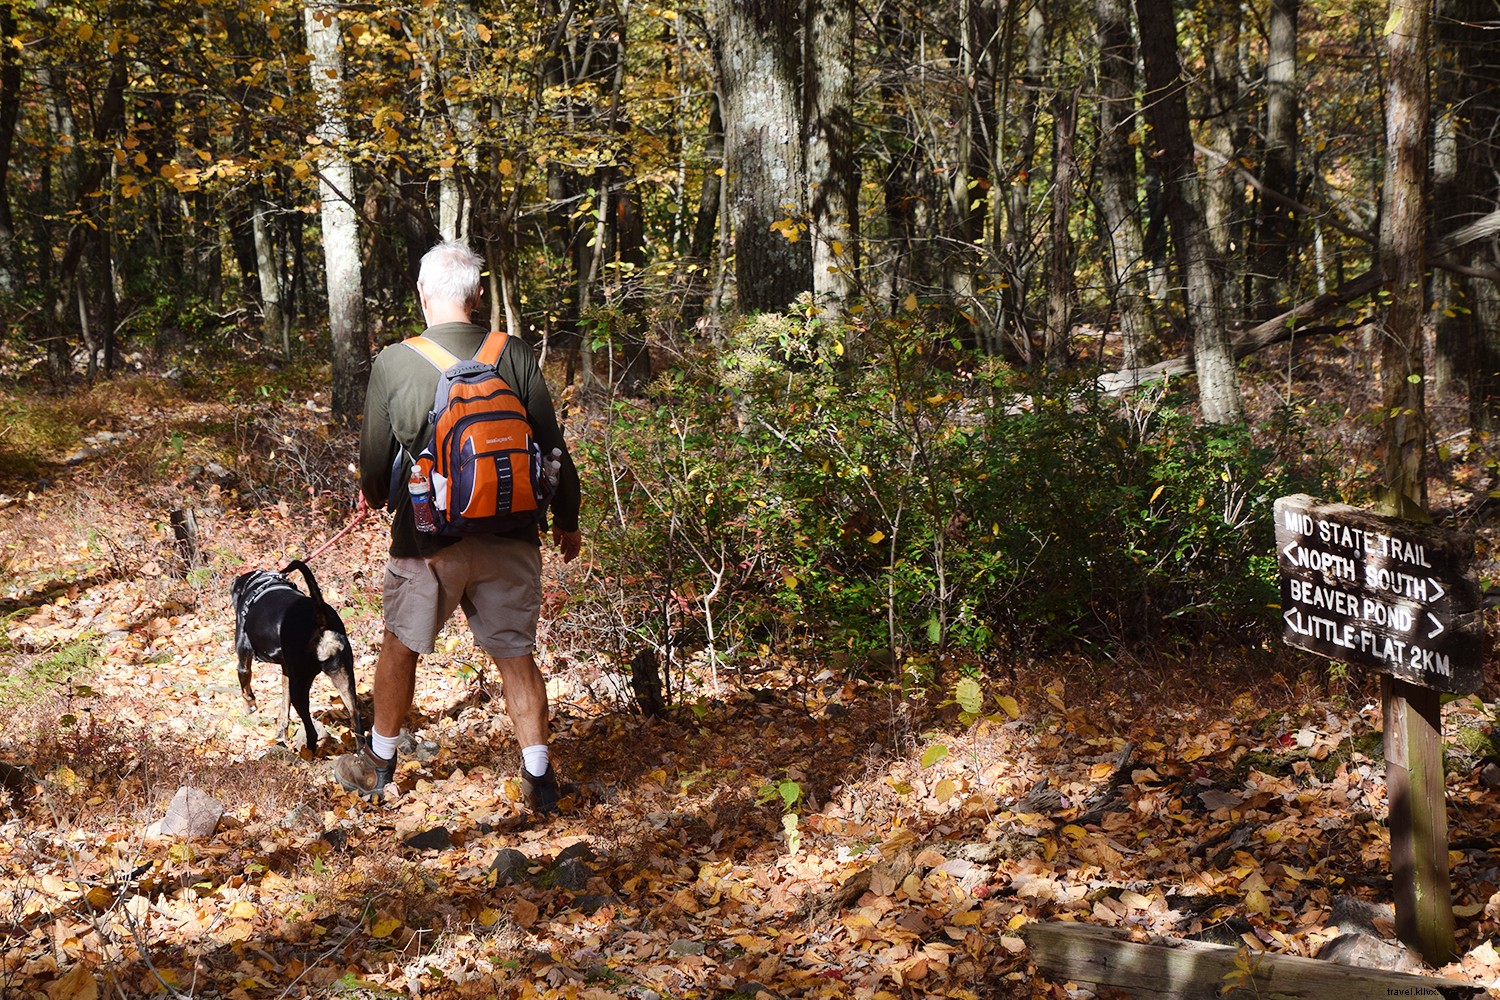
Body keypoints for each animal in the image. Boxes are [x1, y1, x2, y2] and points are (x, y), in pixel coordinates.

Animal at [232, 563, 364, 749]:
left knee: (312, 730)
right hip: (343, 675)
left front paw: (249, 707)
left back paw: (307, 751)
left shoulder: (243, 660)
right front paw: (281, 732)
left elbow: (246, 689)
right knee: (355, 715)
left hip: (300, 687)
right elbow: (284, 706)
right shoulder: (287, 671)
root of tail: (321, 619)